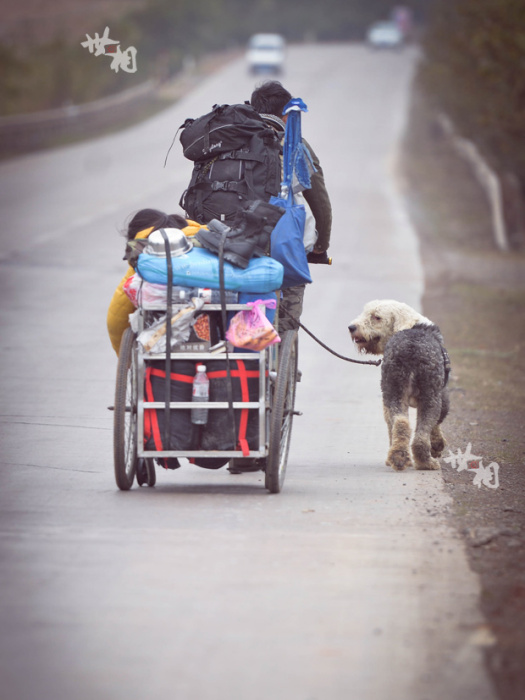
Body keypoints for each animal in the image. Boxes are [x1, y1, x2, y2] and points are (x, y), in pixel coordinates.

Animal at [348, 300, 450, 470]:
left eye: (376, 317)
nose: (352, 327)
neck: (409, 324)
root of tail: (411, 348)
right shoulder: (444, 396)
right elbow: (437, 423)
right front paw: (437, 446)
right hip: (431, 397)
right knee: (421, 432)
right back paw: (425, 462)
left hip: (393, 392)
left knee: (400, 424)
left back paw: (397, 457)